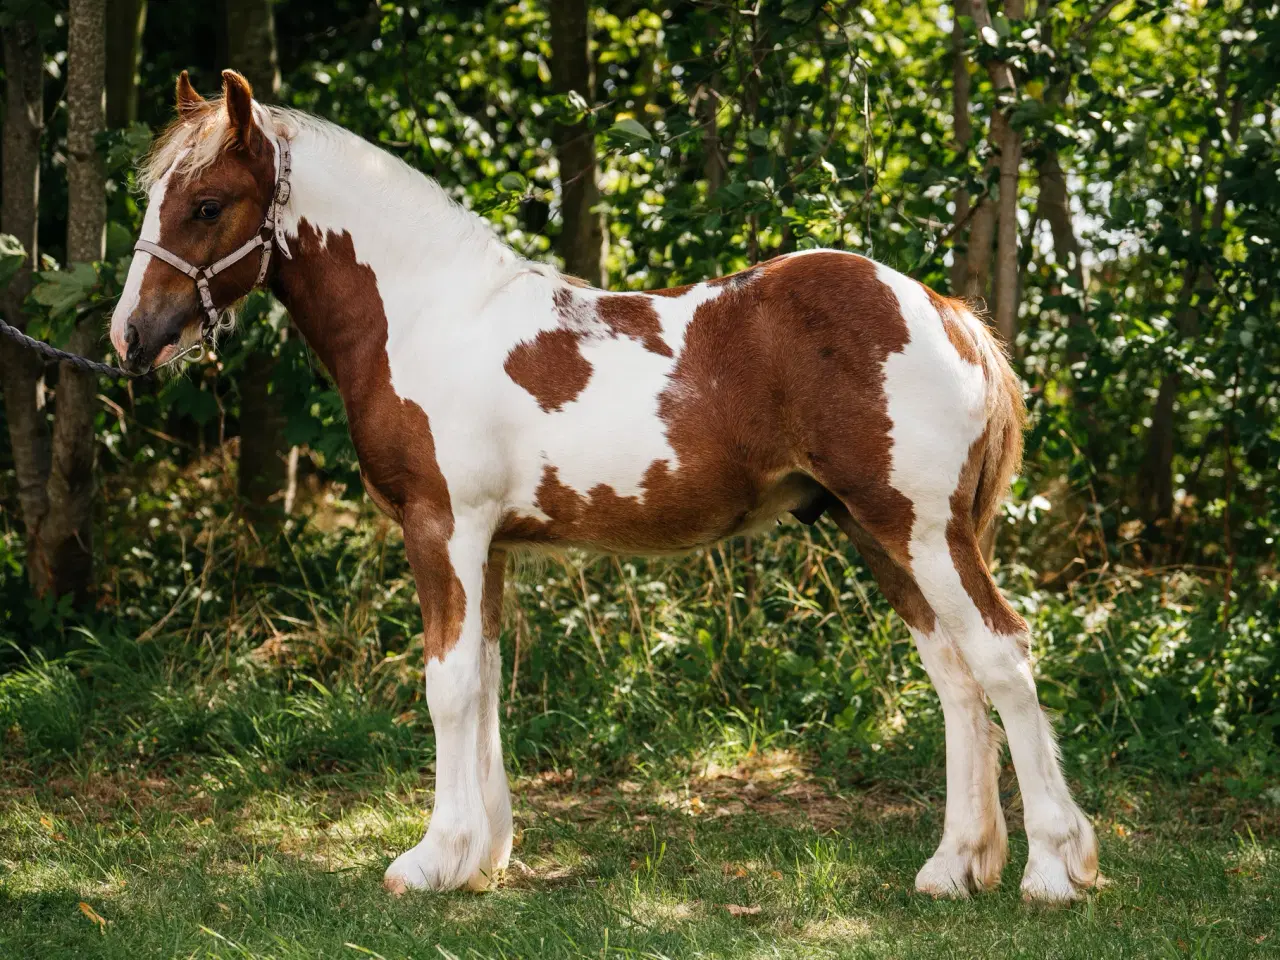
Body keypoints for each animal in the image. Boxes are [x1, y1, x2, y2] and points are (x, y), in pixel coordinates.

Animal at [110, 71, 1100, 906]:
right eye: (153, 198)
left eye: (206, 204)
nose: (130, 337)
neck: (429, 317)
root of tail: (945, 311)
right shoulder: (490, 548)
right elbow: (487, 684)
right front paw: (484, 857)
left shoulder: (443, 530)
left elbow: (447, 686)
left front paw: (431, 860)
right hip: (878, 532)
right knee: (955, 677)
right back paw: (953, 867)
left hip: (923, 531)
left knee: (1003, 657)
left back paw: (1054, 869)